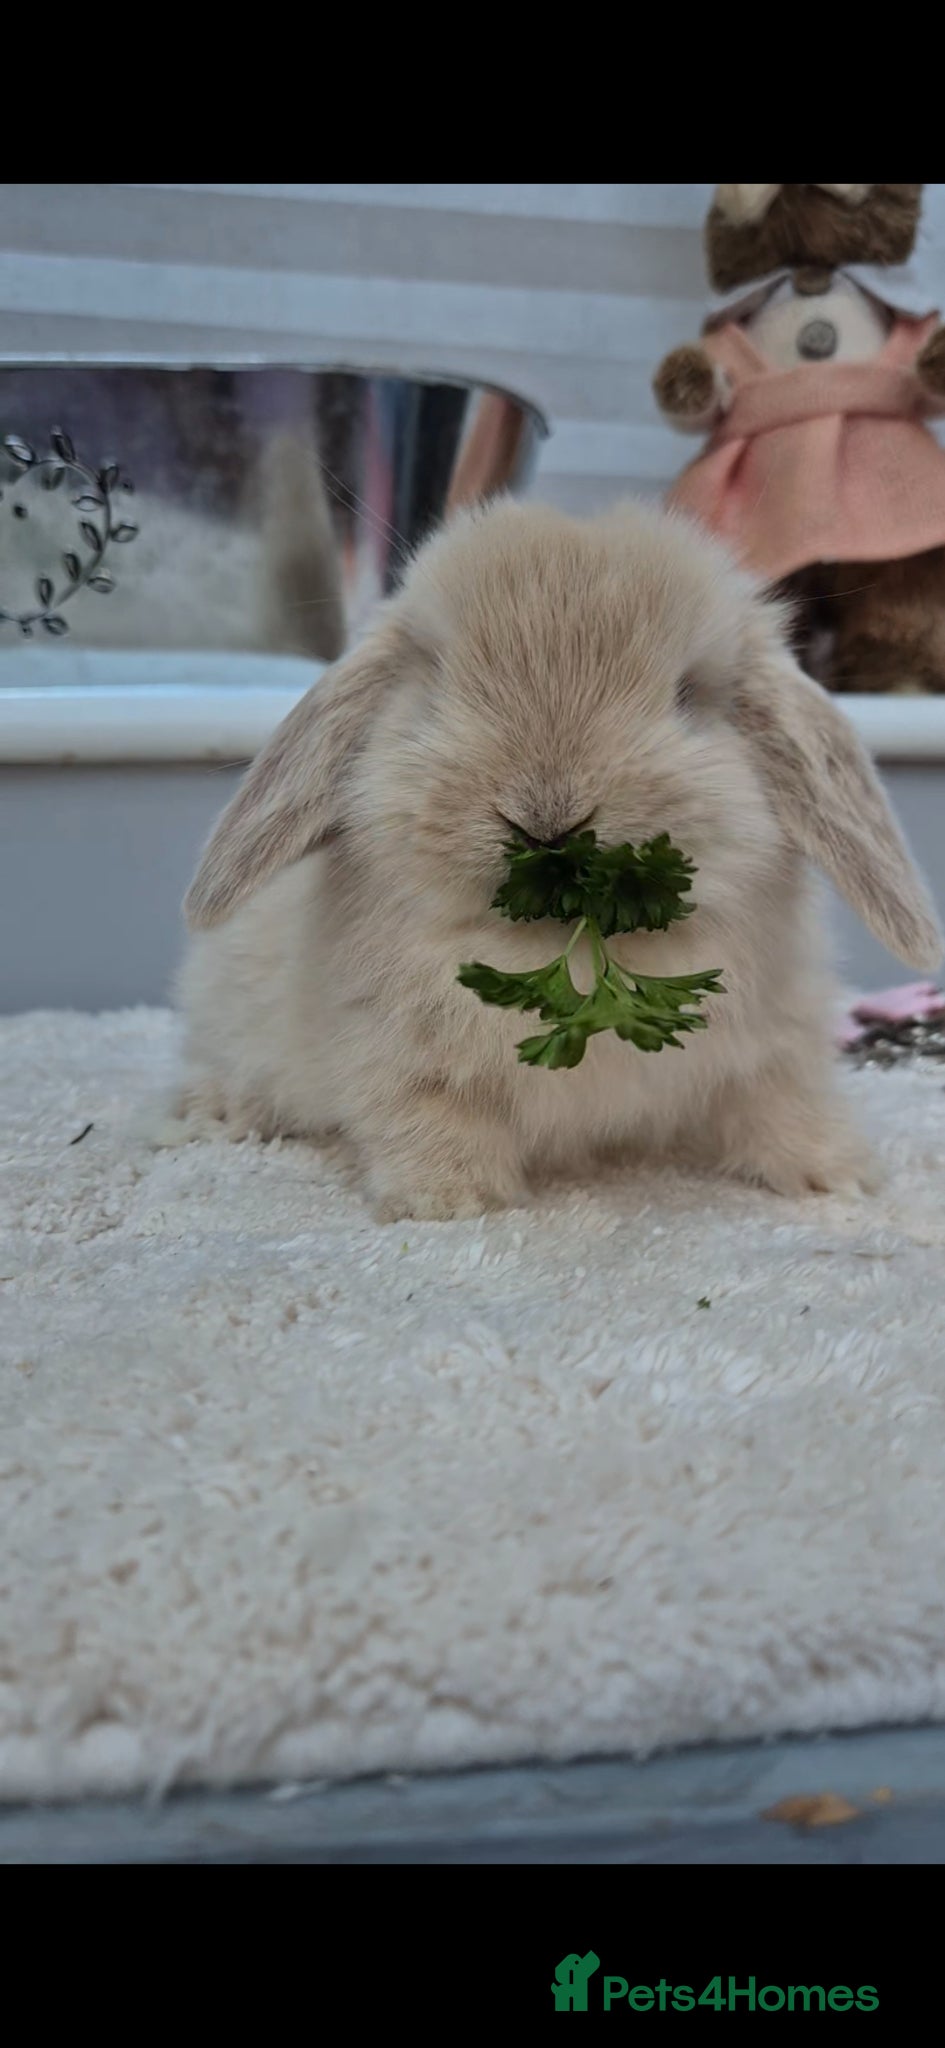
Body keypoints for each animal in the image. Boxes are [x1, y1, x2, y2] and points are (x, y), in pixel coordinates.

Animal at [172, 496, 943, 1223]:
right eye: (435, 685)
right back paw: (211, 1113)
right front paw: (449, 1200)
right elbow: (428, 1117)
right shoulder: (393, 1058)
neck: (569, 952)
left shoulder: (779, 1046)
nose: (546, 818)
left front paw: (836, 1176)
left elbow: (785, 1103)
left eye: (687, 695)